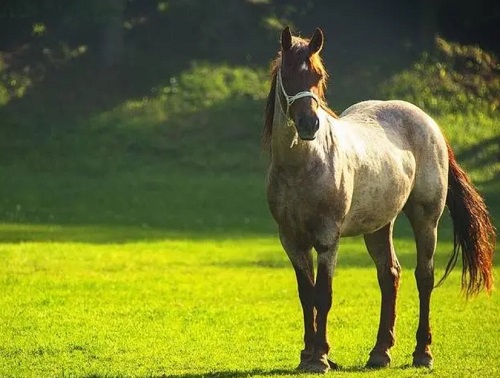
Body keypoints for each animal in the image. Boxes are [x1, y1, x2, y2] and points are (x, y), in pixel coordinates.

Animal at [262, 26, 496, 372]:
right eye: (288, 75)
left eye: (318, 76)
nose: (309, 125)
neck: (302, 166)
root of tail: (429, 123)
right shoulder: (291, 240)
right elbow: (306, 295)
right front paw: (307, 355)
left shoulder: (327, 239)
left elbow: (323, 295)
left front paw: (320, 357)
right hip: (377, 227)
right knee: (390, 275)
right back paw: (380, 352)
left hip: (426, 218)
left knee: (424, 277)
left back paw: (422, 353)